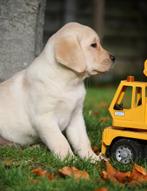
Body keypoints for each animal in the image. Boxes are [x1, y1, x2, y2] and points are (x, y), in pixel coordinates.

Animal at [0, 23, 115, 162]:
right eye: (93, 45)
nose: (114, 58)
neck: (69, 82)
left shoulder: (76, 117)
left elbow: (82, 140)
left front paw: (91, 158)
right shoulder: (45, 118)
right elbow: (61, 141)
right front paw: (70, 160)